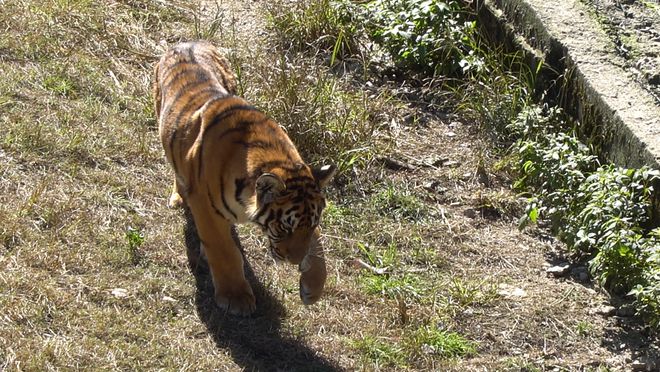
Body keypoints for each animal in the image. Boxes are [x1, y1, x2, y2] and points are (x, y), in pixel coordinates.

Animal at [153, 40, 336, 316]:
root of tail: (187, 42)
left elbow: (318, 249)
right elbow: (223, 249)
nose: (294, 261)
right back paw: (179, 197)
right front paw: (235, 297)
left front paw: (312, 289)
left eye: (310, 225)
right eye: (284, 227)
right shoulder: (204, 204)